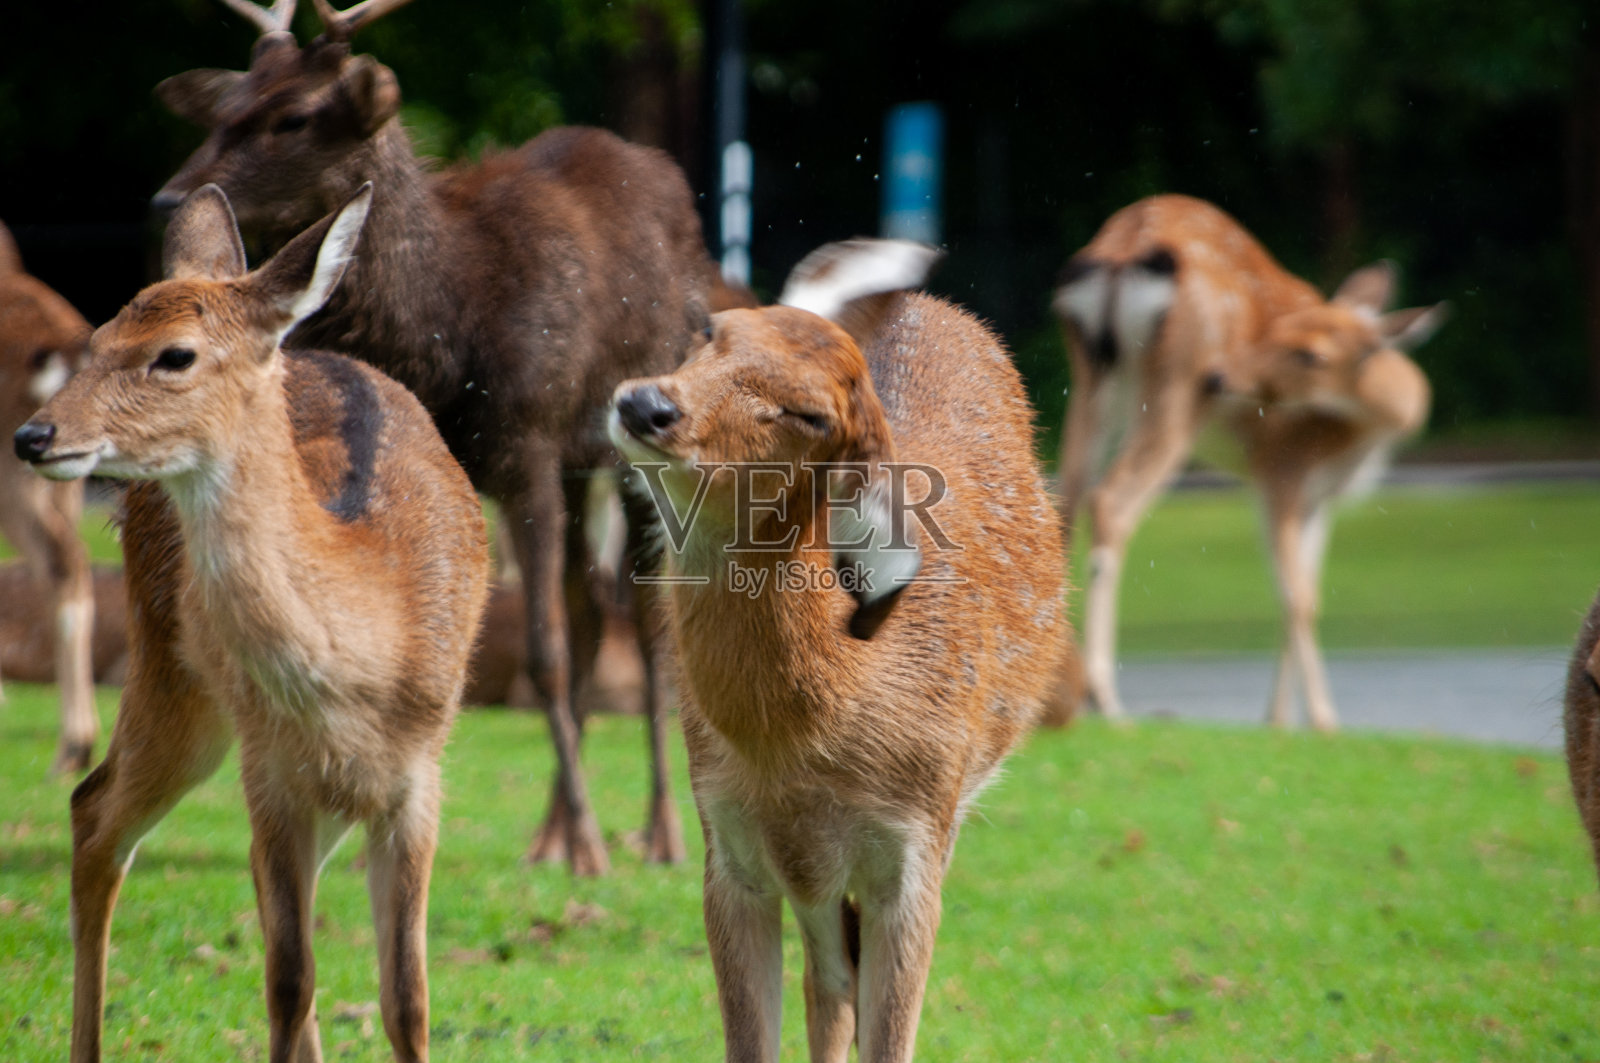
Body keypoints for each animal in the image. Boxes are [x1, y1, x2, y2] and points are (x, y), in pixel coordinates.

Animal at [14, 184, 486, 1063]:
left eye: (175, 354)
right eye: (97, 338)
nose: (34, 434)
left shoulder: (418, 775)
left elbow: (407, 998)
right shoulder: (269, 766)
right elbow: (288, 979)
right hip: (174, 675)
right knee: (93, 812)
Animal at [152, 0, 710, 870]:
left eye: (294, 115)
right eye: (224, 107)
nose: (167, 197)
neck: (443, 329)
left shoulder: (529, 444)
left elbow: (544, 651)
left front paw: (593, 843)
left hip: (636, 449)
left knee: (648, 625)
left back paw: (657, 832)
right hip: (583, 465)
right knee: (591, 609)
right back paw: (551, 829)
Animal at [604, 240, 1068, 1063]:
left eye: (810, 414)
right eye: (709, 330)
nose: (646, 404)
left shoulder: (916, 847)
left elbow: (892, 1037)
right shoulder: (727, 842)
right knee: (828, 980)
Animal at [1056, 192, 1446, 730]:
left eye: (1308, 353)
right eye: (1290, 340)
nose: (1222, 378)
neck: (1355, 442)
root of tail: (1125, 245)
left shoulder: (1313, 498)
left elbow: (1299, 593)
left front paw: (1278, 721)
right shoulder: (1282, 471)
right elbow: (1301, 598)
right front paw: (1323, 721)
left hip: (1089, 379)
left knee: (1062, 497)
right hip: (1174, 388)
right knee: (1110, 500)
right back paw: (1106, 699)